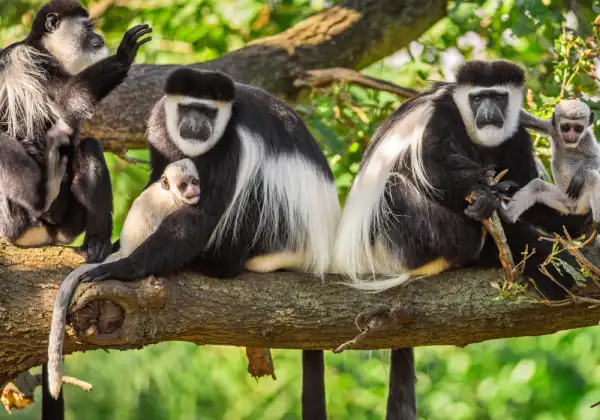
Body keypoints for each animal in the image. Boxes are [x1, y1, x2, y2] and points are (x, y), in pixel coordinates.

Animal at [0, 0, 152, 260]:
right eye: (88, 27)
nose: (99, 37)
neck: (45, 49)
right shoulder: (29, 61)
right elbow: (66, 103)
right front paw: (123, 55)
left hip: (69, 222)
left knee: (88, 147)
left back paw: (97, 243)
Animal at [47, 158, 202, 400]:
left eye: (194, 181)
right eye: (183, 185)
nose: (193, 190)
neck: (169, 193)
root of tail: (125, 252)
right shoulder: (173, 206)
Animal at [72, 69, 340, 420]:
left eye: (209, 112)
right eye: (188, 108)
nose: (197, 124)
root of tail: (318, 250)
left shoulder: (232, 145)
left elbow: (204, 214)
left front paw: (124, 267)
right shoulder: (160, 124)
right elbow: (159, 179)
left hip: (281, 229)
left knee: (253, 192)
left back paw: (217, 263)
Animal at [332, 60, 592, 418]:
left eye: (498, 97)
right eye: (477, 98)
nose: (488, 112)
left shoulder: (516, 134)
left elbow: (525, 183)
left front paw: (571, 219)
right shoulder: (440, 118)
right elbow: (433, 168)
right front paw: (483, 194)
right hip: (399, 237)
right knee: (399, 186)